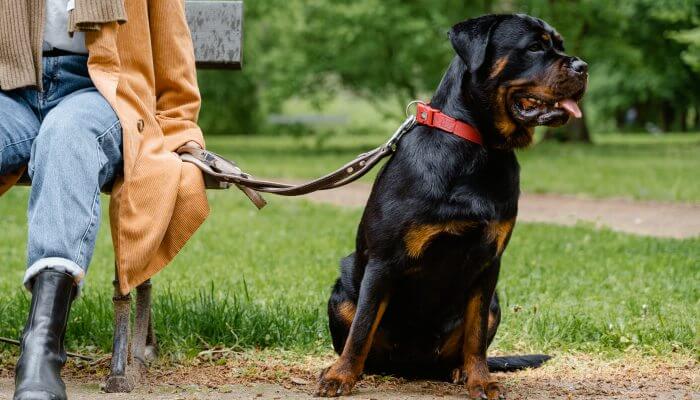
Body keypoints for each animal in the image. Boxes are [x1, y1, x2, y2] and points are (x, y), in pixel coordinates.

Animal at [318, 14, 584, 398]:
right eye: (535, 46)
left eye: (560, 45)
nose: (583, 66)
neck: (477, 147)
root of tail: (415, 368)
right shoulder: (384, 261)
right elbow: (362, 327)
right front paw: (341, 376)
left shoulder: (488, 263)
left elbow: (476, 336)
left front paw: (481, 379)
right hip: (341, 295)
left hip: (495, 303)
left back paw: (459, 371)